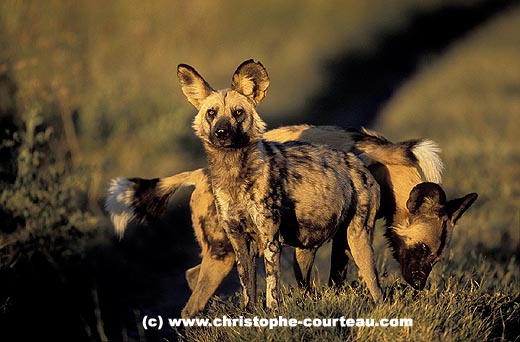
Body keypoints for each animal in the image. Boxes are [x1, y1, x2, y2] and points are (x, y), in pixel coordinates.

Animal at [177, 60, 384, 312]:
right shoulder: (239, 242)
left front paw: (272, 312)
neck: (234, 173)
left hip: (358, 239)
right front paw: (250, 313)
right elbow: (247, 285)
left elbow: (271, 286)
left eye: (238, 113)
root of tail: (359, 163)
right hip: (306, 251)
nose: (221, 133)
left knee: (376, 288)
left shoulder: (270, 240)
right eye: (211, 113)